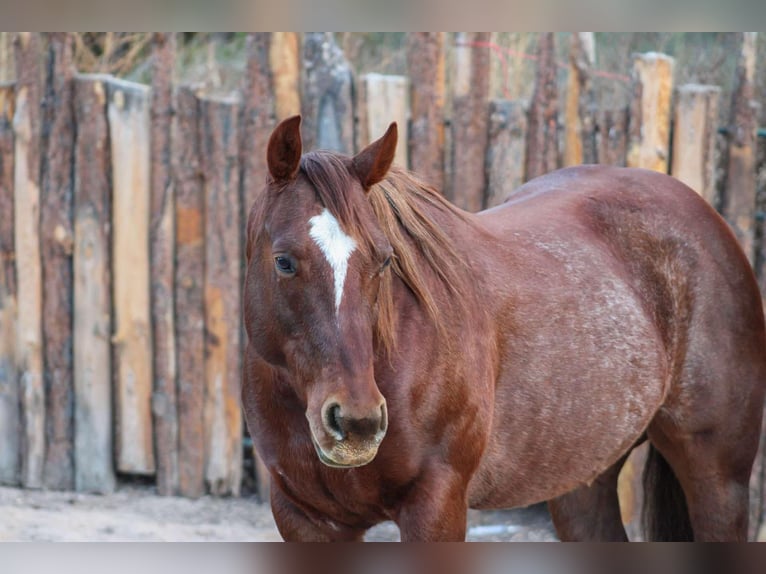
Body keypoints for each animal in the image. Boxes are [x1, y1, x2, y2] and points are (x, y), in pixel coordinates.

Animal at [241, 115, 766, 541]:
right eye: (284, 261)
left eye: (384, 260)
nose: (356, 424)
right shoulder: (304, 518)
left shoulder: (436, 506)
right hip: (581, 481)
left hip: (718, 478)